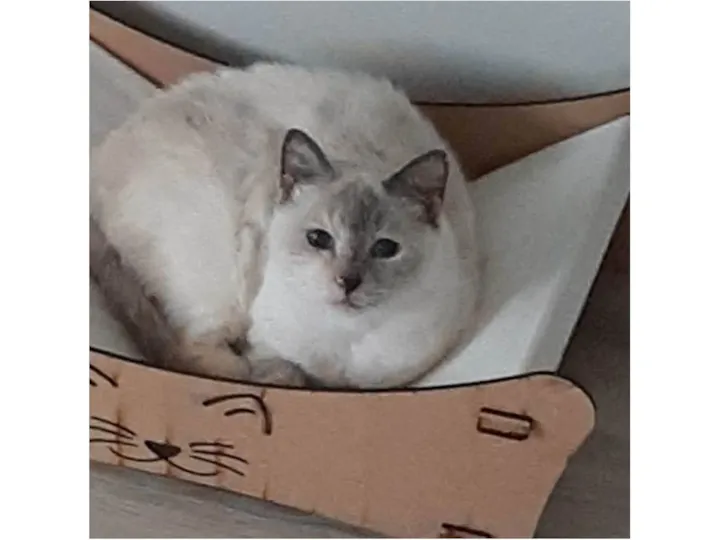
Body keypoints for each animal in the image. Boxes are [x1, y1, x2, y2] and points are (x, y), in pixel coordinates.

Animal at [90, 63, 481, 389]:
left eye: (385, 248)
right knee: (189, 348)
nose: (348, 282)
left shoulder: (389, 382)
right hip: (221, 280)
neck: (341, 347)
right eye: (318, 239)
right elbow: (283, 374)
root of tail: (101, 154)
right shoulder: (269, 349)